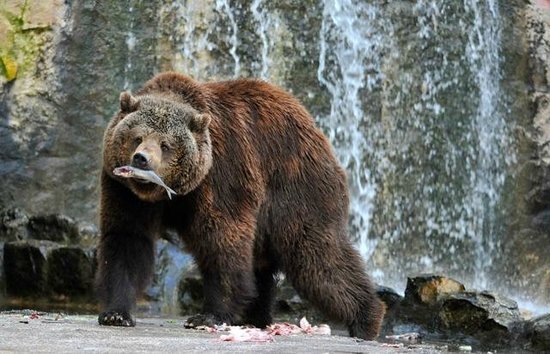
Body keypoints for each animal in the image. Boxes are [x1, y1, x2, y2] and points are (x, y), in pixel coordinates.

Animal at [96, 70, 388, 338]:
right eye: (137, 137)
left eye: (165, 144)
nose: (141, 159)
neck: (171, 193)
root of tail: (316, 130)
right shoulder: (123, 191)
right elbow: (127, 240)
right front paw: (116, 313)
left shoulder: (222, 175)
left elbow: (221, 241)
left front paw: (208, 315)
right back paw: (255, 316)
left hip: (297, 190)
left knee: (317, 258)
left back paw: (367, 318)